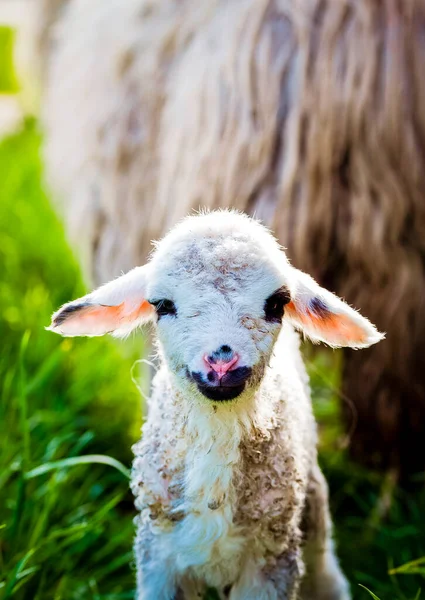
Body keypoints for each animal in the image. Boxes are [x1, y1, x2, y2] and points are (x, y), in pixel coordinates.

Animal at [48, 212, 382, 600]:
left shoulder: (270, 563)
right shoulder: (158, 557)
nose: (221, 362)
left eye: (276, 304)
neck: (217, 430)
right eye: (162, 305)